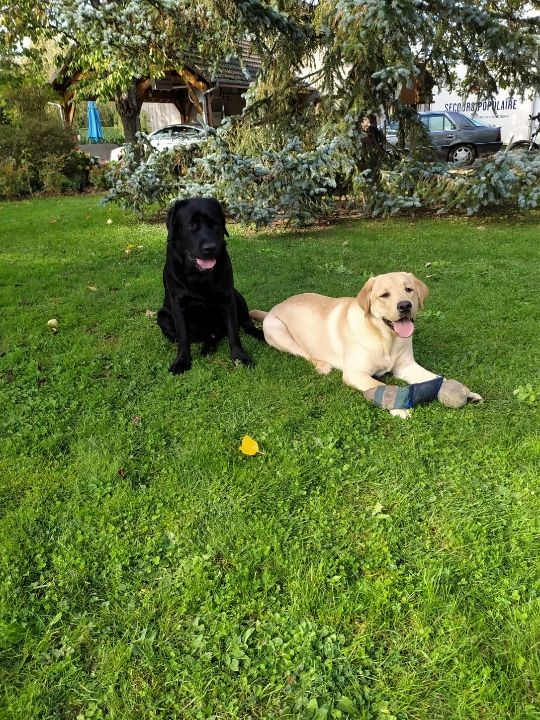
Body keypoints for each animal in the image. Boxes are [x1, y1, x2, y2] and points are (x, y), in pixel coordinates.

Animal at [157, 198, 264, 374]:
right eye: (191, 225)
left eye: (215, 224)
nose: (210, 248)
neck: (199, 275)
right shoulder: (178, 305)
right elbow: (183, 337)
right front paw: (182, 361)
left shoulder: (228, 300)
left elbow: (234, 332)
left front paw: (240, 357)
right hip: (162, 317)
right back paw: (208, 347)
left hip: (238, 297)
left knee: (246, 325)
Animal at [249, 270, 480, 416]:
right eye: (384, 295)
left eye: (409, 289)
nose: (405, 305)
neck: (384, 338)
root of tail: (273, 308)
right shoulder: (355, 373)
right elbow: (379, 385)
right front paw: (398, 407)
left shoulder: (406, 366)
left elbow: (436, 378)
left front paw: (466, 393)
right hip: (277, 330)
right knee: (302, 353)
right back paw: (322, 365)